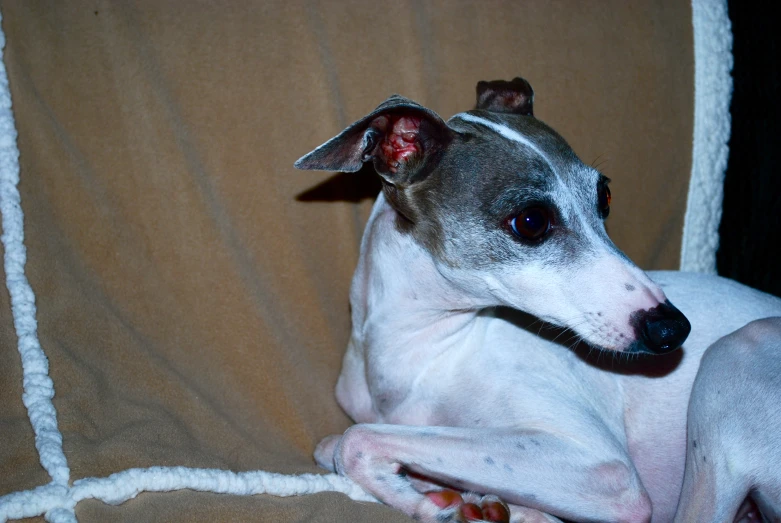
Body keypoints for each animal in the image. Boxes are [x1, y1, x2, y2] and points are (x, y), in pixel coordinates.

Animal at [292, 79, 780, 523]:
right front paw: (439, 493)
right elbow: (334, 443)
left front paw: (423, 502)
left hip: (734, 354)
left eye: (604, 195)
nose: (673, 330)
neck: (422, 351)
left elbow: (355, 440)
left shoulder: (605, 469)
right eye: (531, 221)